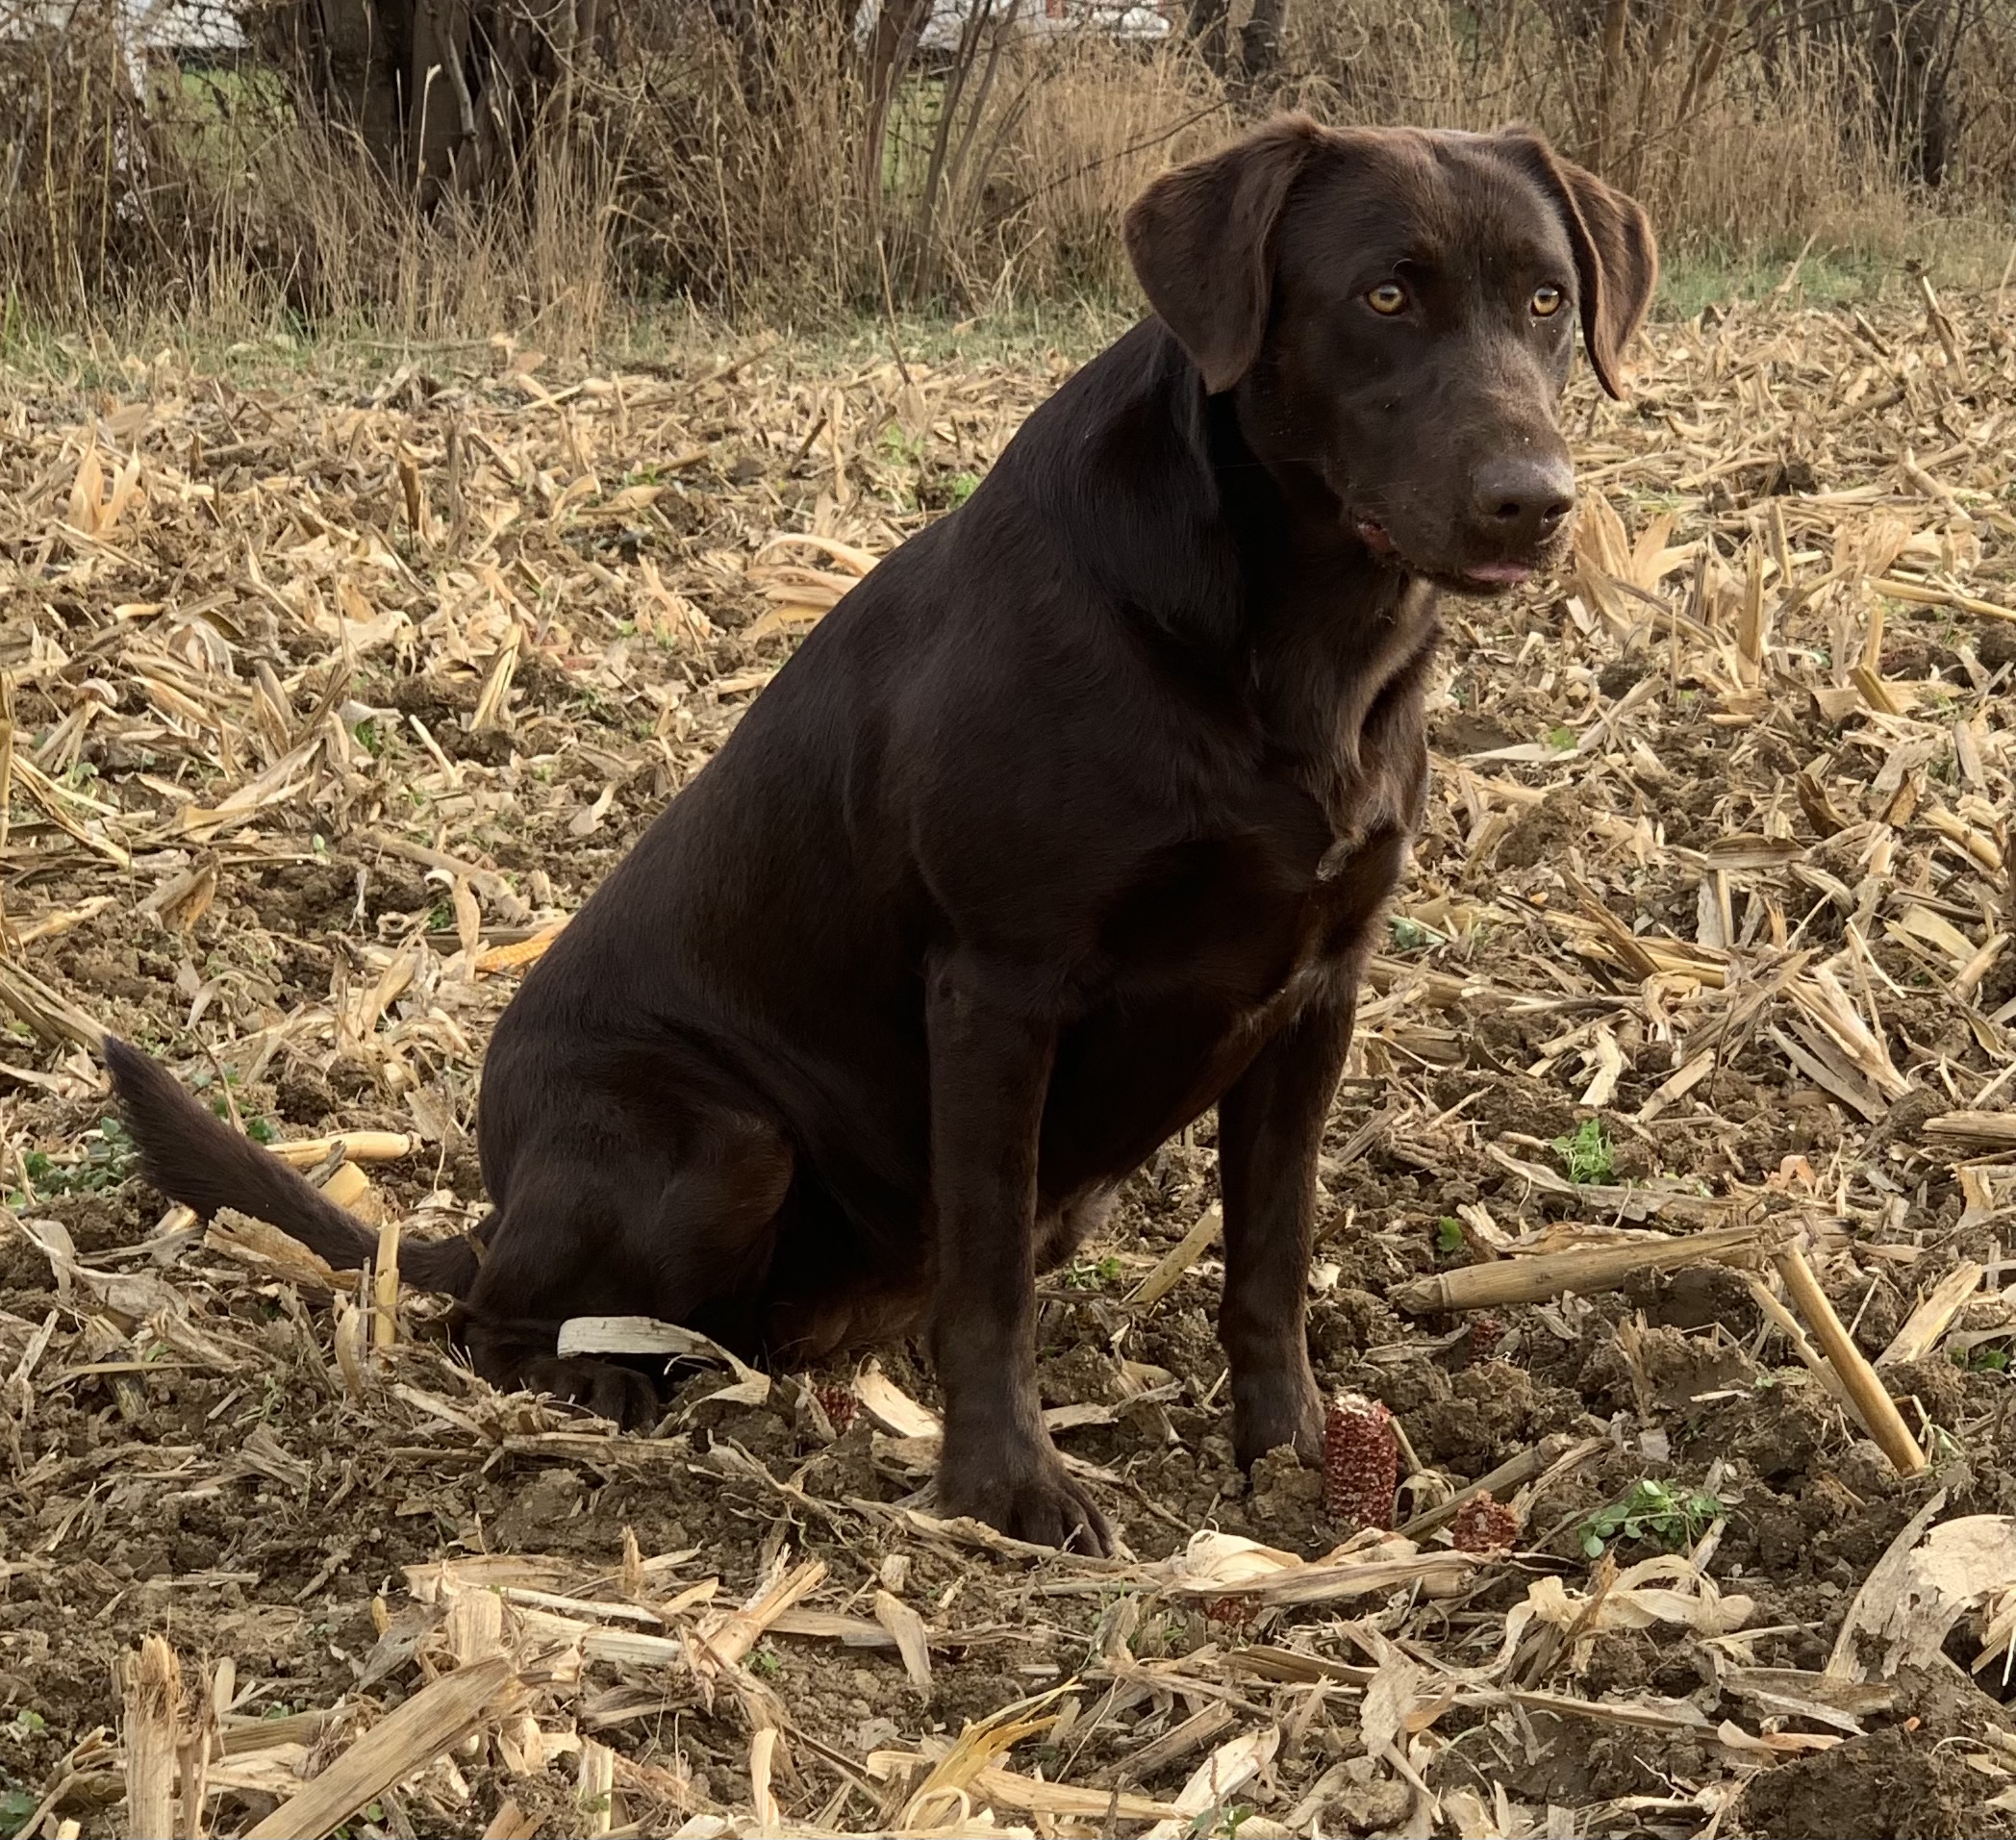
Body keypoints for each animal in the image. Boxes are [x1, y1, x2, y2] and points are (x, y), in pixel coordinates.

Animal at [106, 114, 1652, 1548]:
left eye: (1545, 300)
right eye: (1383, 295)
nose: (1533, 501)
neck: (1300, 647)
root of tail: (491, 1205)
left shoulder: (1318, 991)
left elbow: (1270, 1249)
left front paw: (1292, 1457)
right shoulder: (996, 987)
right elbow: (990, 1275)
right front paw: (1008, 1489)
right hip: (720, 1141)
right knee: (495, 1316)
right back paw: (598, 1386)